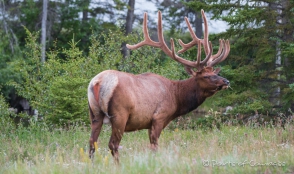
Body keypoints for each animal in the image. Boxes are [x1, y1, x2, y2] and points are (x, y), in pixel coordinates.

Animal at [88, 9, 231, 162]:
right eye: (205, 76)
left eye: (214, 72)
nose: (226, 82)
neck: (176, 98)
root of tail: (98, 82)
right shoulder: (159, 117)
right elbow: (154, 146)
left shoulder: (150, 123)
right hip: (120, 114)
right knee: (112, 144)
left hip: (94, 114)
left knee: (92, 142)